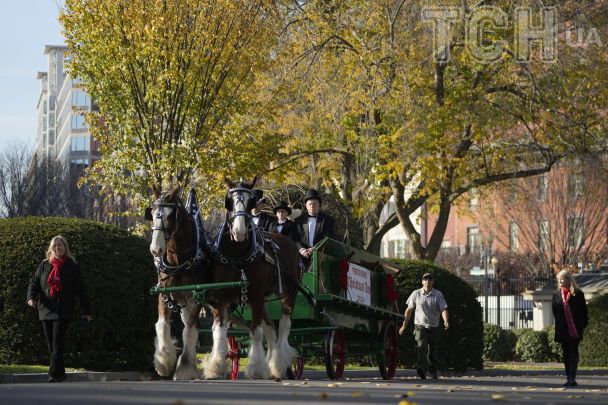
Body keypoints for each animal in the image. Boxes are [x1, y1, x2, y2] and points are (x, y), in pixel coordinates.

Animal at [150, 185, 211, 378]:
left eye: (171, 215)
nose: (156, 249)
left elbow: (189, 331)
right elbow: (162, 325)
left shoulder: (194, 297)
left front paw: (184, 368)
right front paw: (164, 362)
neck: (178, 262)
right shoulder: (163, 294)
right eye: (152, 212)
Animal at [204, 177, 302, 378]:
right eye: (229, 201)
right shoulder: (220, 298)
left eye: (251, 203)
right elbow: (219, 332)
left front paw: (256, 368)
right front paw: (215, 367)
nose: (239, 232)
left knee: (284, 325)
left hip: (289, 293)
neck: (238, 255)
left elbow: (255, 333)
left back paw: (279, 364)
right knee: (271, 328)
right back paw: (272, 364)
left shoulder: (255, 295)